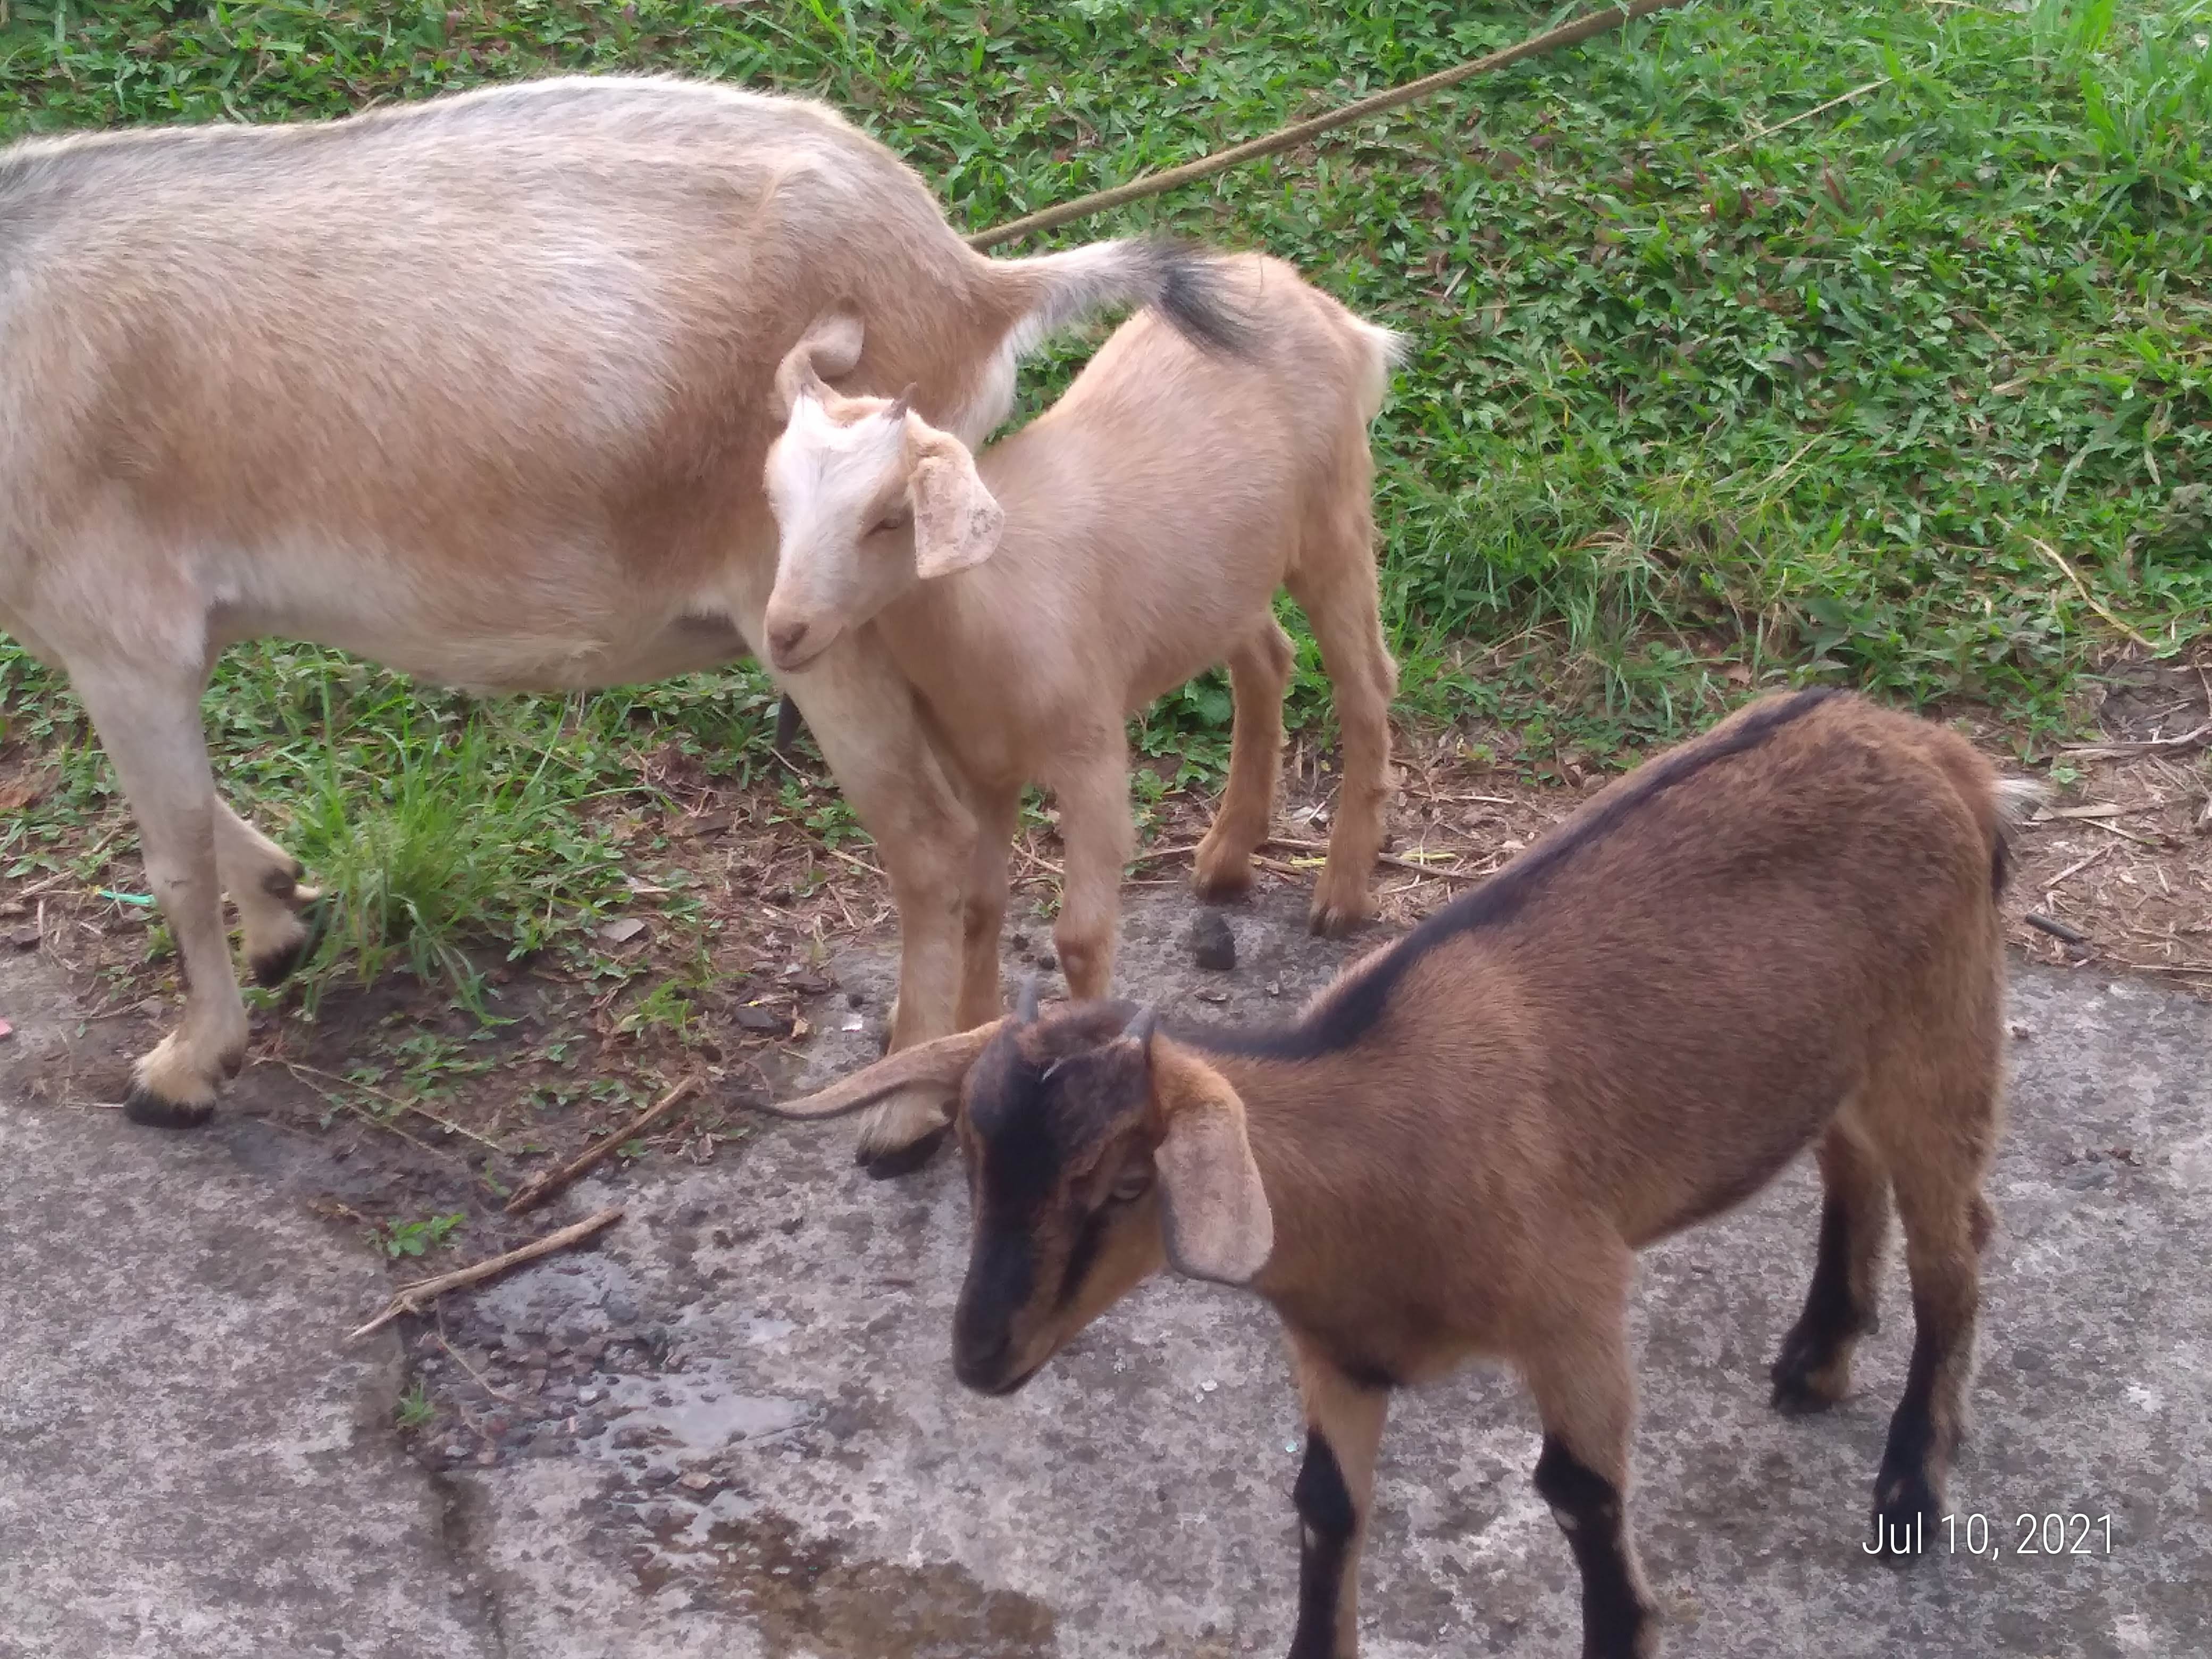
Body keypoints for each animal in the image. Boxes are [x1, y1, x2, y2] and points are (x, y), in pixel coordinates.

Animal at [0, 73, 1245, 1165]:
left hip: (823, 614)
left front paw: (184, 1068)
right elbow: (194, 817)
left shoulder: (123, 633)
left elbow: (169, 850)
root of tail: (975, 280)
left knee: (932, 846)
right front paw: (279, 920)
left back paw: (900, 1119)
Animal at [755, 253, 1402, 1086]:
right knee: (1267, 658)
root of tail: (1316, 302)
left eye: (889, 519)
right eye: (776, 505)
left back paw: (1343, 891)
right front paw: (971, 1038)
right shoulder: (979, 766)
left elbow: (1080, 939)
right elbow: (981, 909)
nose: (784, 633)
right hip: (1221, 579)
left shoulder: (1091, 754)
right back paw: (1228, 853)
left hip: (1334, 520)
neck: (990, 607)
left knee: (1365, 683)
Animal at [764, 687, 2035, 1658]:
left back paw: (1911, 1489)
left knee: (1956, 1248)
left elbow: (1580, 1500)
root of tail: (1940, 754)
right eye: (976, 1164)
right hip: (1838, 1055)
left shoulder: (1577, 1306)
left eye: (1125, 1185)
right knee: (1850, 1168)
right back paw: (1818, 1354)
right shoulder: (1337, 1354)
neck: (1383, 1158)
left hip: (1943, 1033)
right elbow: (1324, 1508)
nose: (980, 1359)